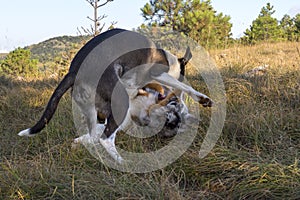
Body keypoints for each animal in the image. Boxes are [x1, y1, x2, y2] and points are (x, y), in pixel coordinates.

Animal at [18, 28, 213, 162]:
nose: (178, 102)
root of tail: (73, 71)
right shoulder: (158, 74)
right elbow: (181, 86)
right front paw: (201, 98)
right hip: (120, 103)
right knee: (106, 138)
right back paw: (122, 162)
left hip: (93, 111)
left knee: (95, 136)